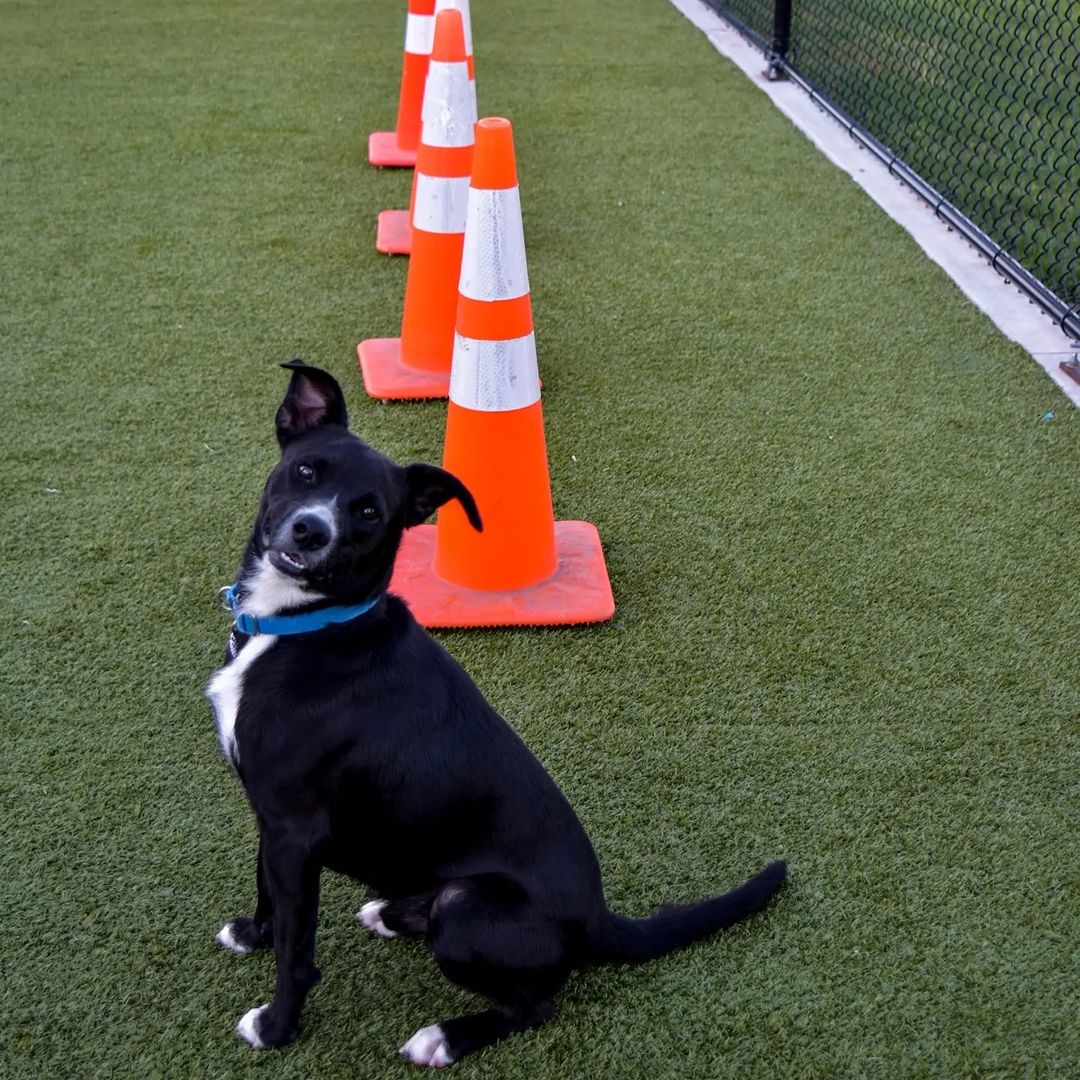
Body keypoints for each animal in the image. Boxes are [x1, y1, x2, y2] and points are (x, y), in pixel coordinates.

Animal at [210, 360, 786, 1062]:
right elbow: (266, 889)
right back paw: (393, 913)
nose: (311, 530)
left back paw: (445, 1037)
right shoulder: (272, 822)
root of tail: (598, 918)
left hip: (466, 909)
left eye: (368, 511)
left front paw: (275, 1027)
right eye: (306, 471)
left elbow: (297, 953)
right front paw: (254, 934)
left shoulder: (295, 828)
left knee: (534, 1006)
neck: (307, 625)